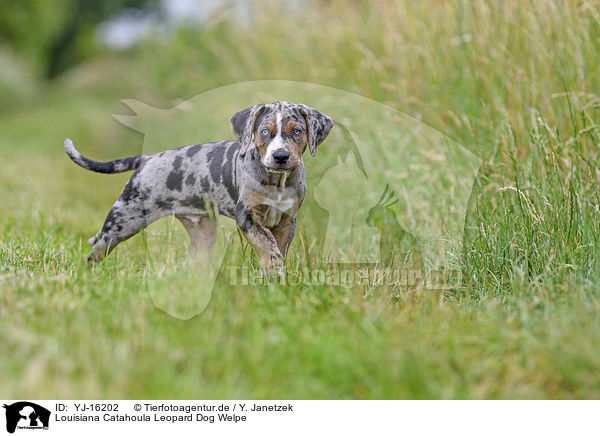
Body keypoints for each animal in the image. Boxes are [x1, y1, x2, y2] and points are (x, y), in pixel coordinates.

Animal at [68, 100, 336, 274]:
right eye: (264, 132)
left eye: (297, 131)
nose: (280, 156)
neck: (277, 182)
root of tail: (146, 159)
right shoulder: (247, 215)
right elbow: (265, 241)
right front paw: (273, 268)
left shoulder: (287, 220)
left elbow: (278, 246)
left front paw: (276, 274)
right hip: (124, 219)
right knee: (97, 246)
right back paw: (87, 275)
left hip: (202, 229)